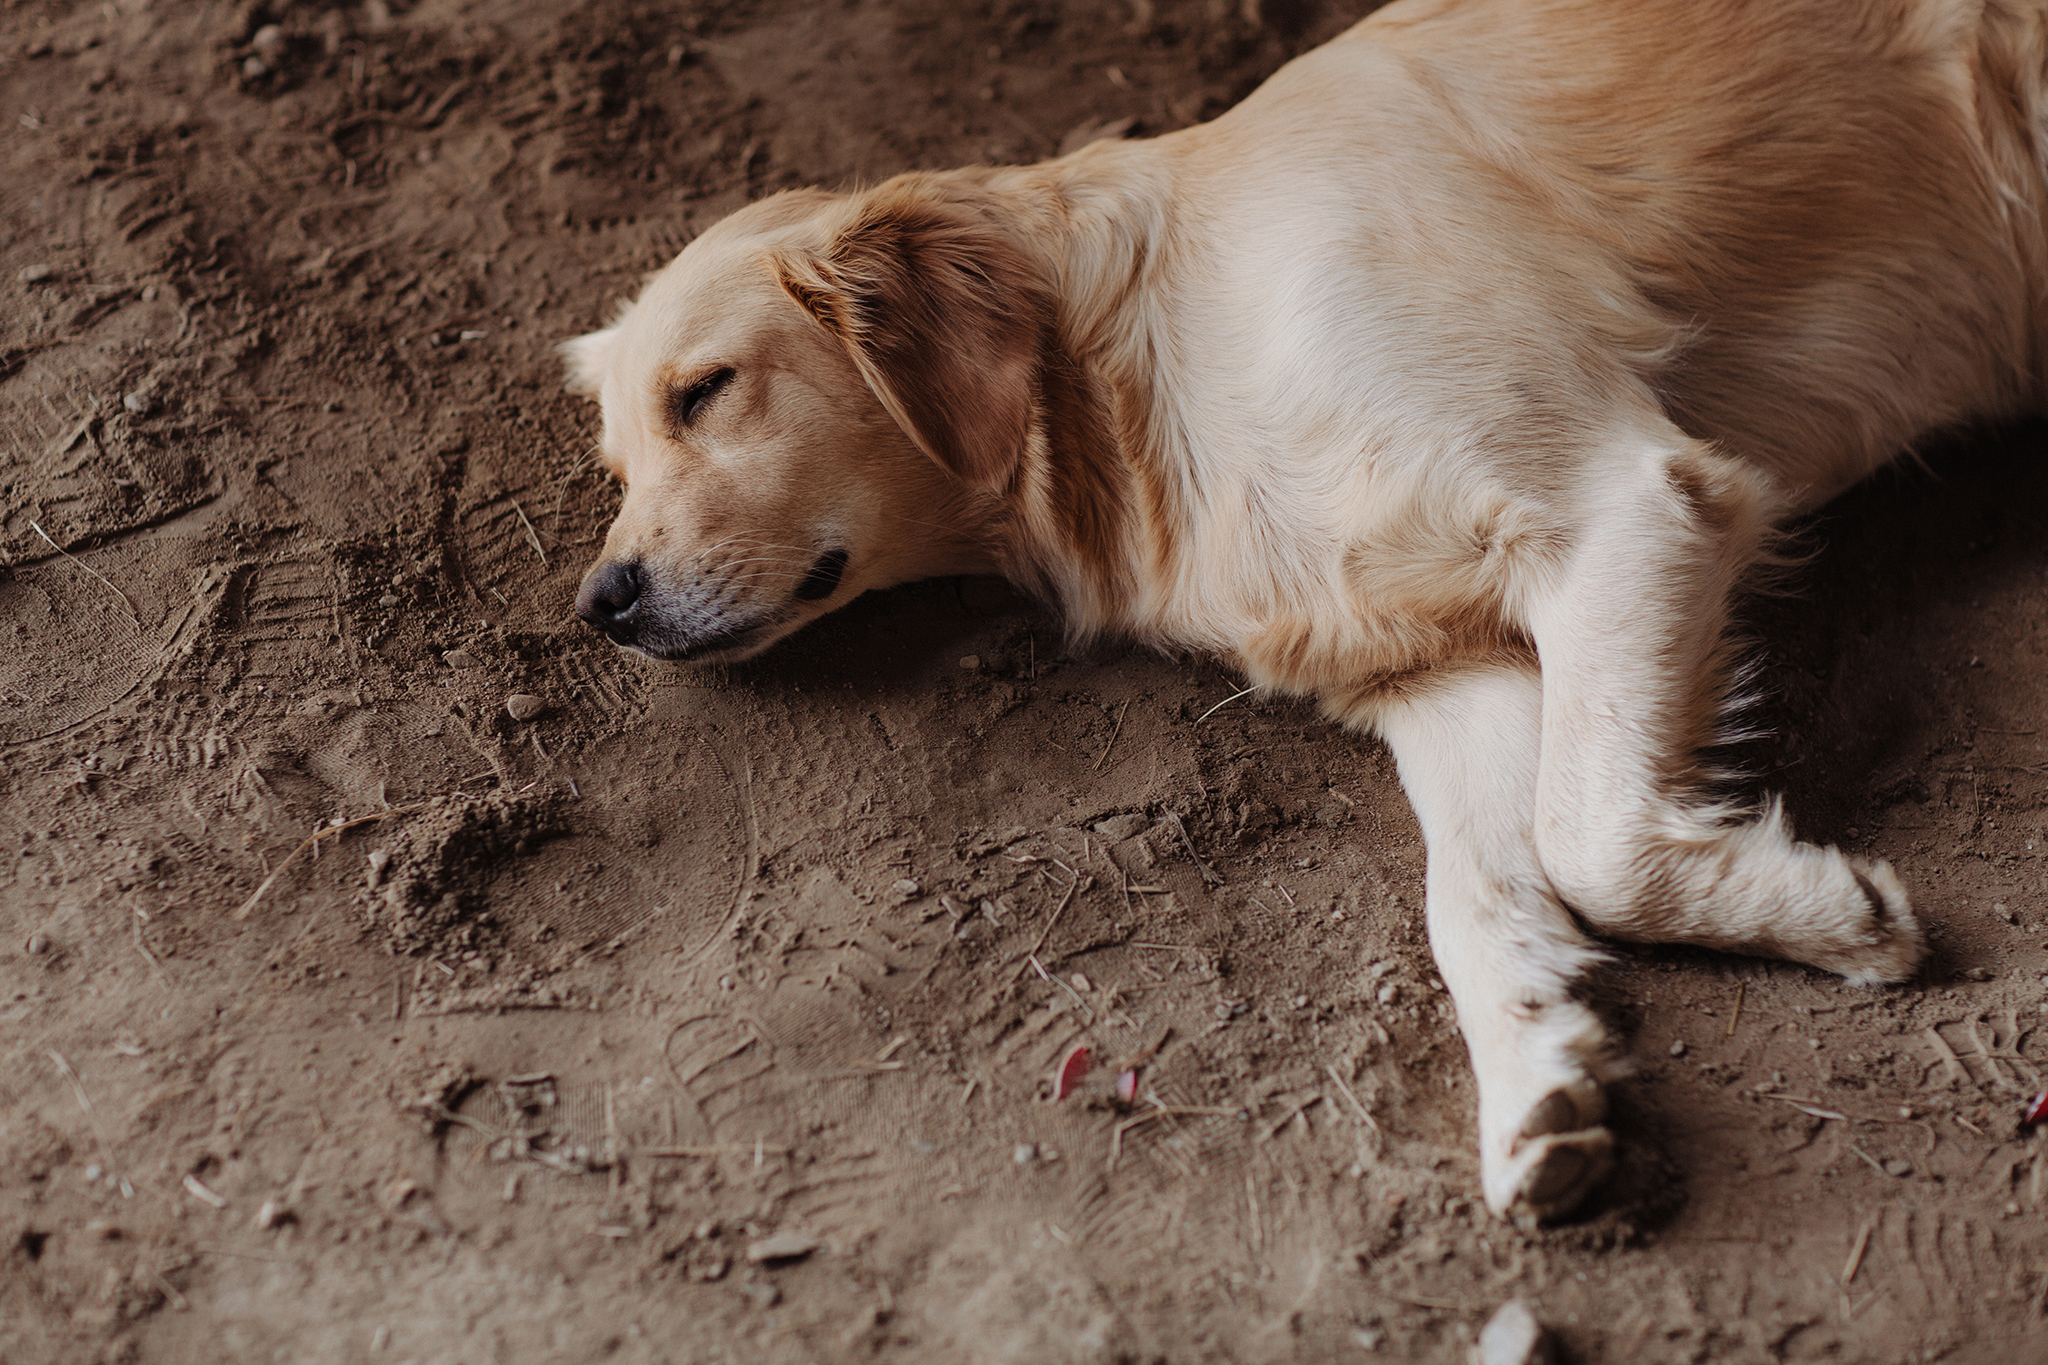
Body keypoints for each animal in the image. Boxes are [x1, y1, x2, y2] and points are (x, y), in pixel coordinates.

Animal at [561, 0, 2048, 1219]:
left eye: (708, 390)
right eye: (618, 467)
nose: (600, 604)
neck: (1139, 354)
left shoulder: (1622, 504)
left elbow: (1589, 841)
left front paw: (1836, 915)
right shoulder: (1442, 674)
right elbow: (1482, 890)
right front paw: (1537, 1084)